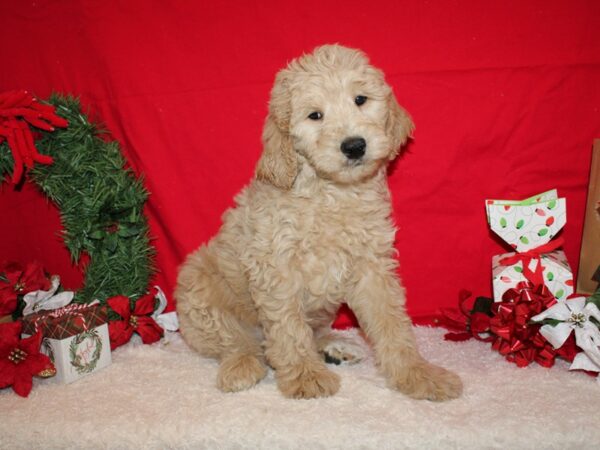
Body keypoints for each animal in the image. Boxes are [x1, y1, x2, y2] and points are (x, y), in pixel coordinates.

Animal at [176, 43, 462, 400]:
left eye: (360, 99)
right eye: (315, 115)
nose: (354, 145)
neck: (333, 194)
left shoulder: (372, 266)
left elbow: (391, 322)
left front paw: (417, 373)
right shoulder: (276, 266)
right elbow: (289, 327)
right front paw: (305, 376)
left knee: (310, 331)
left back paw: (335, 346)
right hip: (199, 290)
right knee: (235, 340)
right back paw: (243, 364)